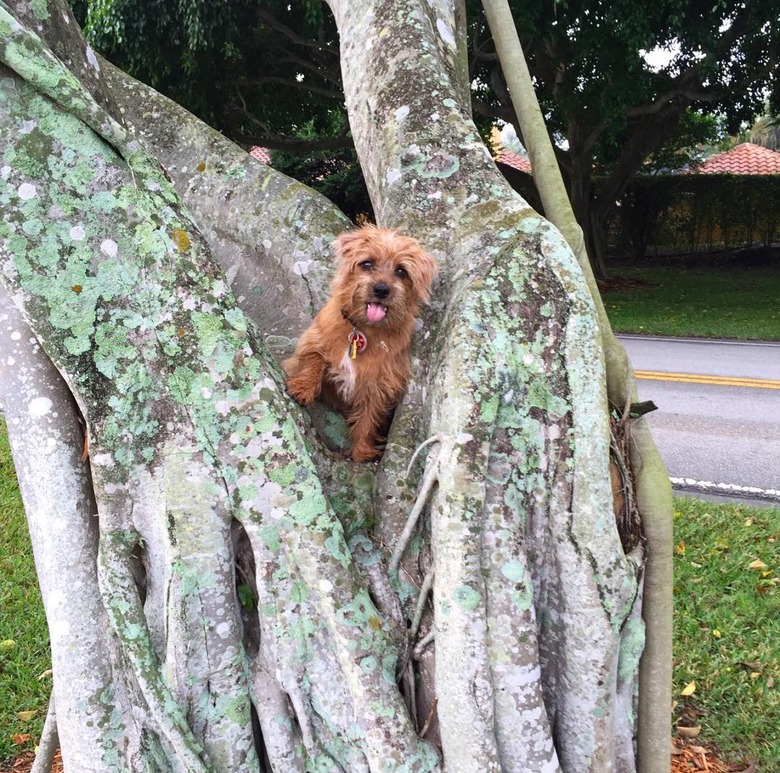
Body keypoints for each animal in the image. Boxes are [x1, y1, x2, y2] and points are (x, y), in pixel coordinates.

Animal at [284, 226, 436, 462]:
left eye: (401, 271)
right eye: (367, 263)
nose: (381, 289)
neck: (364, 330)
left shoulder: (380, 385)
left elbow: (367, 419)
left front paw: (361, 451)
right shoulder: (314, 338)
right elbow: (314, 358)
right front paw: (303, 388)